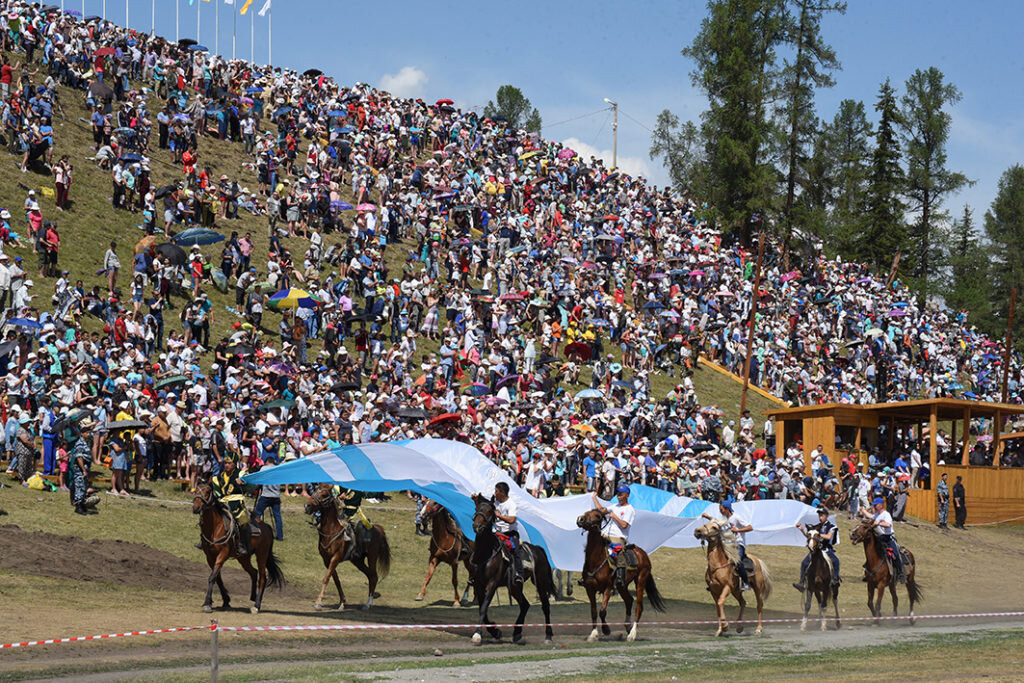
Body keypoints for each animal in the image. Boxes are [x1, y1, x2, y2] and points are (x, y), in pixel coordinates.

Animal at [188, 481, 282, 614]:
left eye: (207, 492)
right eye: (196, 490)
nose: (196, 508)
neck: (215, 527)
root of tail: (267, 527)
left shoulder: (222, 554)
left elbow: (212, 577)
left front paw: (207, 603)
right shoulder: (210, 557)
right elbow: (217, 578)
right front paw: (225, 600)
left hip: (262, 555)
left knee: (263, 577)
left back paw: (257, 605)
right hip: (243, 558)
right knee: (254, 572)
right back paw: (253, 596)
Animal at [468, 493, 557, 643]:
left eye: (490, 511)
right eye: (477, 508)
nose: (477, 526)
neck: (486, 553)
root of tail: (538, 549)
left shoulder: (492, 584)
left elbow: (484, 607)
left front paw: (478, 634)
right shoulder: (478, 585)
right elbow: (482, 609)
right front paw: (495, 631)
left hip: (540, 581)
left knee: (545, 606)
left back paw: (548, 635)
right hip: (515, 586)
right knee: (525, 605)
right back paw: (517, 633)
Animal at [573, 507, 667, 643]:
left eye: (597, 516)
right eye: (587, 512)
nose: (580, 519)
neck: (596, 560)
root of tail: (642, 553)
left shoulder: (607, 588)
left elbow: (602, 611)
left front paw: (606, 630)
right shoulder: (589, 589)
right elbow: (594, 611)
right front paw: (593, 634)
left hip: (641, 580)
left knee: (639, 607)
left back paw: (632, 634)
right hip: (622, 585)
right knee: (629, 600)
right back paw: (627, 627)